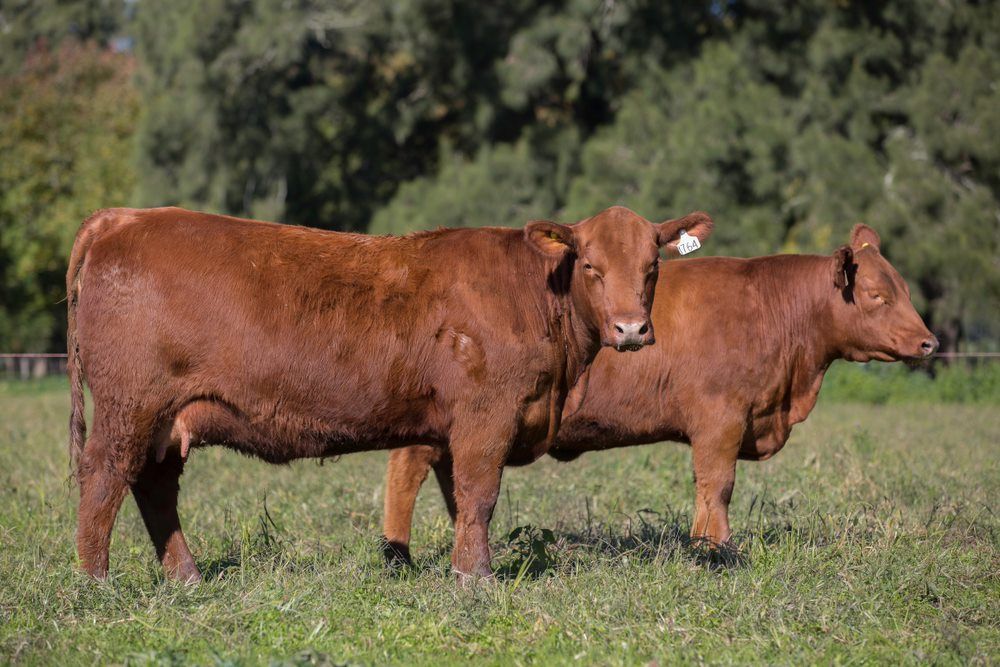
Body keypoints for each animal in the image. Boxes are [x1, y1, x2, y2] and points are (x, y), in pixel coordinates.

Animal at [66, 205, 714, 582]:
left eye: (652, 266)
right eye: (591, 266)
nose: (631, 330)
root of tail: (123, 217)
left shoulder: (457, 428)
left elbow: (460, 502)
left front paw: (464, 568)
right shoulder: (487, 415)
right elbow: (480, 495)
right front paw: (476, 580)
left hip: (164, 421)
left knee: (153, 488)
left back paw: (186, 577)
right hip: (130, 405)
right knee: (103, 479)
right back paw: (97, 584)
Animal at [381, 224, 938, 565]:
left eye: (906, 290)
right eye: (877, 296)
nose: (929, 342)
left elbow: (708, 488)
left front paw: (702, 547)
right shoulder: (721, 417)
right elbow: (717, 484)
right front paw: (716, 552)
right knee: (406, 471)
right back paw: (397, 556)